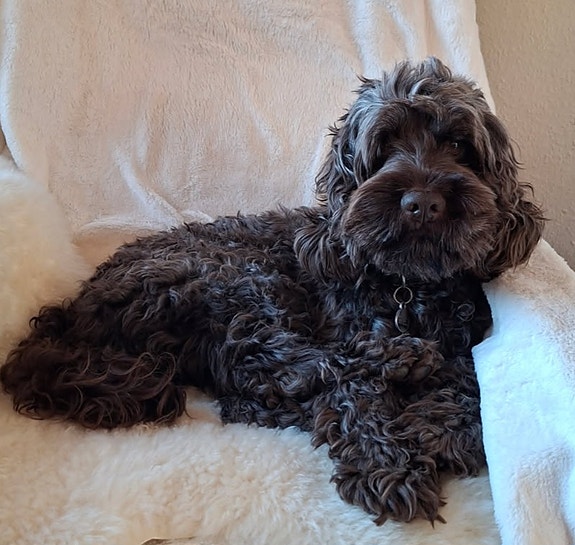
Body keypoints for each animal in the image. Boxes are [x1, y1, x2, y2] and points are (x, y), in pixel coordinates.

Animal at [0, 58, 544, 524]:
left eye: (459, 145)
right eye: (385, 145)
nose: (422, 202)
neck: (406, 289)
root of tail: (73, 312)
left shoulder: (466, 344)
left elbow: (474, 391)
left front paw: (429, 430)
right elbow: (356, 398)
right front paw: (387, 464)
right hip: (234, 277)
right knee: (276, 363)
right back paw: (400, 358)